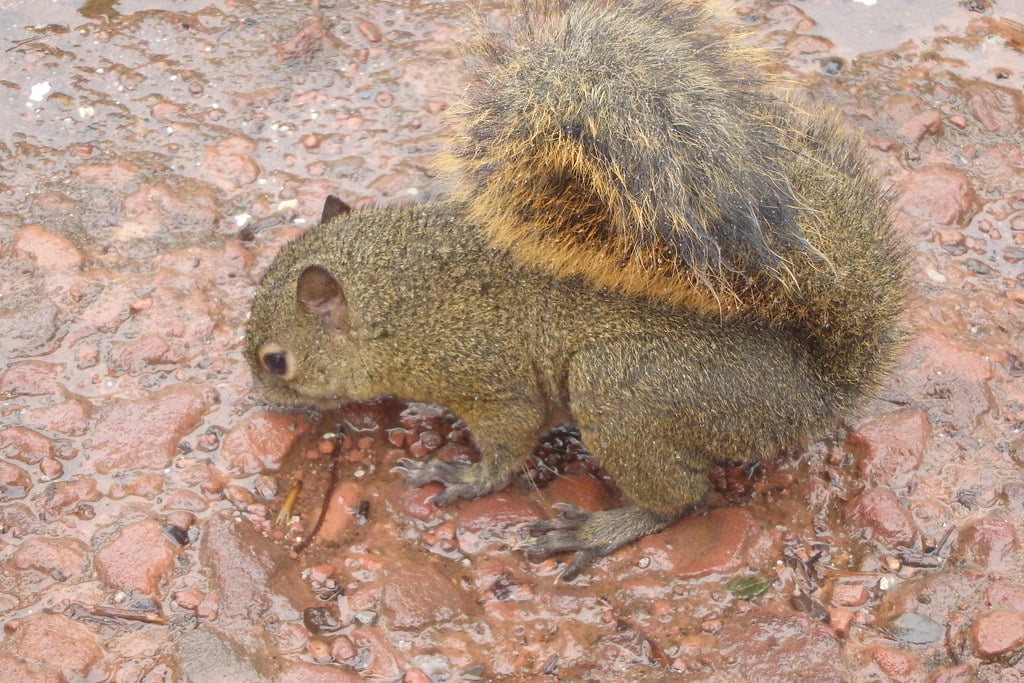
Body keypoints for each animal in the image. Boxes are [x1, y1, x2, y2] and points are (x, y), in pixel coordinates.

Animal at [245, 0, 906, 580]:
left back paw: (599, 529)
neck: (398, 298)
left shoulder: (484, 377)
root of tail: (813, 392)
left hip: (622, 389)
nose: (262, 401)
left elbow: (508, 445)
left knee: (683, 498)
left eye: (275, 361)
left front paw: (461, 478)